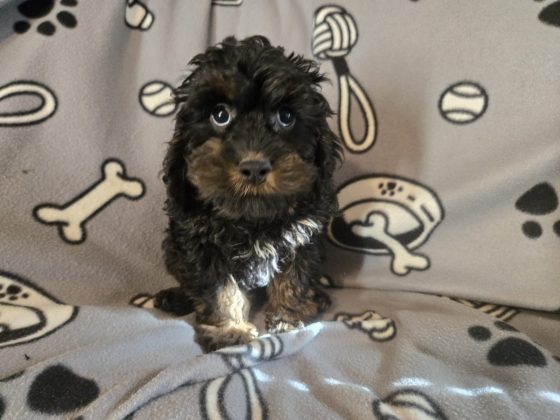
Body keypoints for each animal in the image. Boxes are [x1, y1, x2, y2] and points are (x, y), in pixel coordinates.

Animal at [155, 36, 342, 352]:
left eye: (286, 116)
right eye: (220, 115)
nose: (254, 167)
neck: (253, 218)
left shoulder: (302, 236)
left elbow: (293, 277)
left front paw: (288, 317)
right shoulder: (200, 242)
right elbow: (219, 287)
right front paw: (230, 330)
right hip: (173, 247)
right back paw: (176, 297)